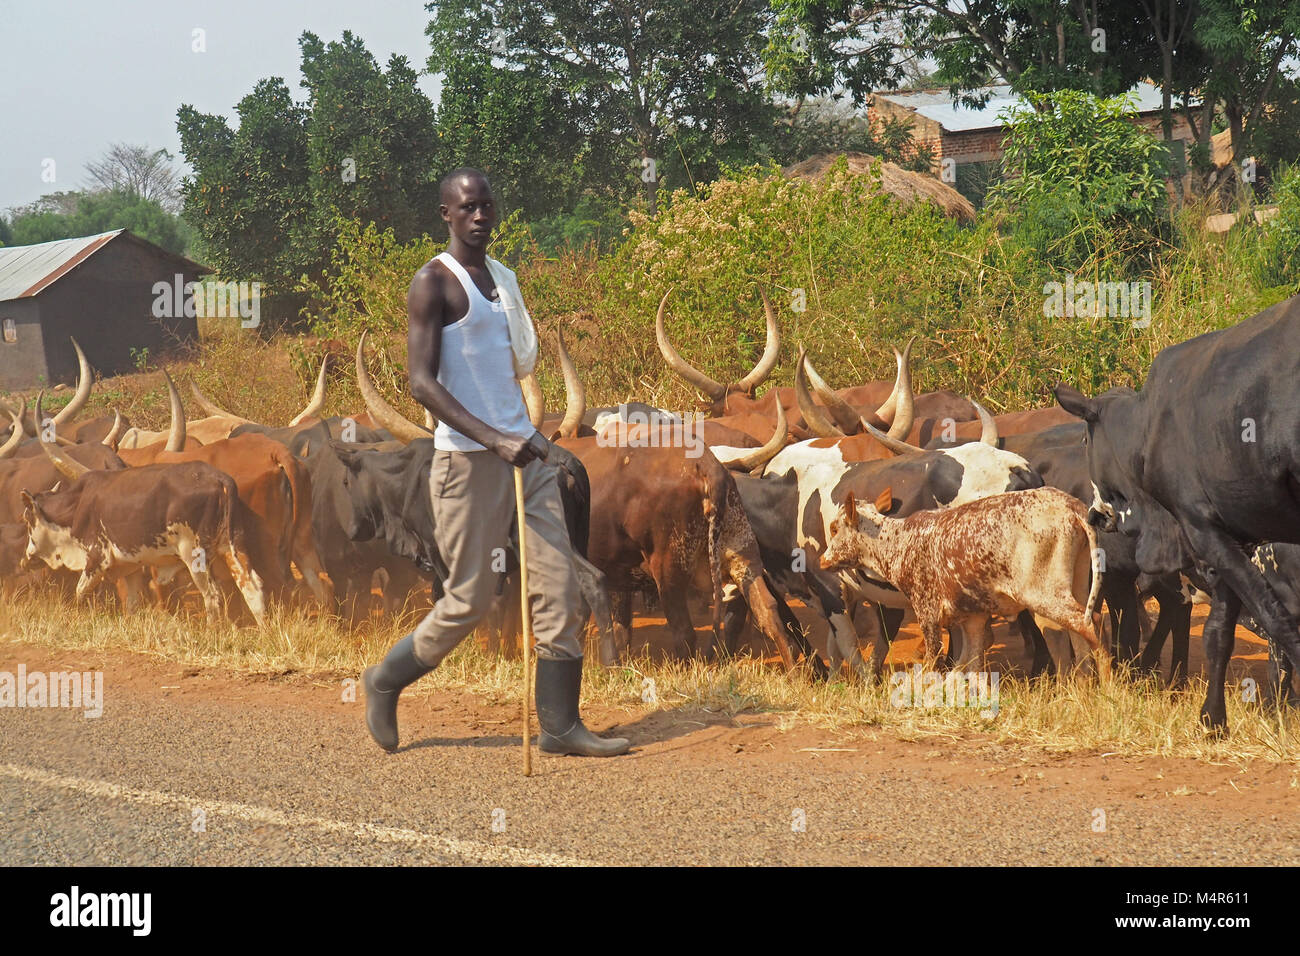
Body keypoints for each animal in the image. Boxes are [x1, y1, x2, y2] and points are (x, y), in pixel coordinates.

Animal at [816, 481, 1102, 676]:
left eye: (835, 528)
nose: (822, 560)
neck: (901, 541)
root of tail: (1071, 507)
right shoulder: (973, 617)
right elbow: (971, 663)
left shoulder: (927, 612)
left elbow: (936, 661)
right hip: (1077, 582)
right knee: (1080, 632)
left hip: (1044, 595)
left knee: (1090, 623)